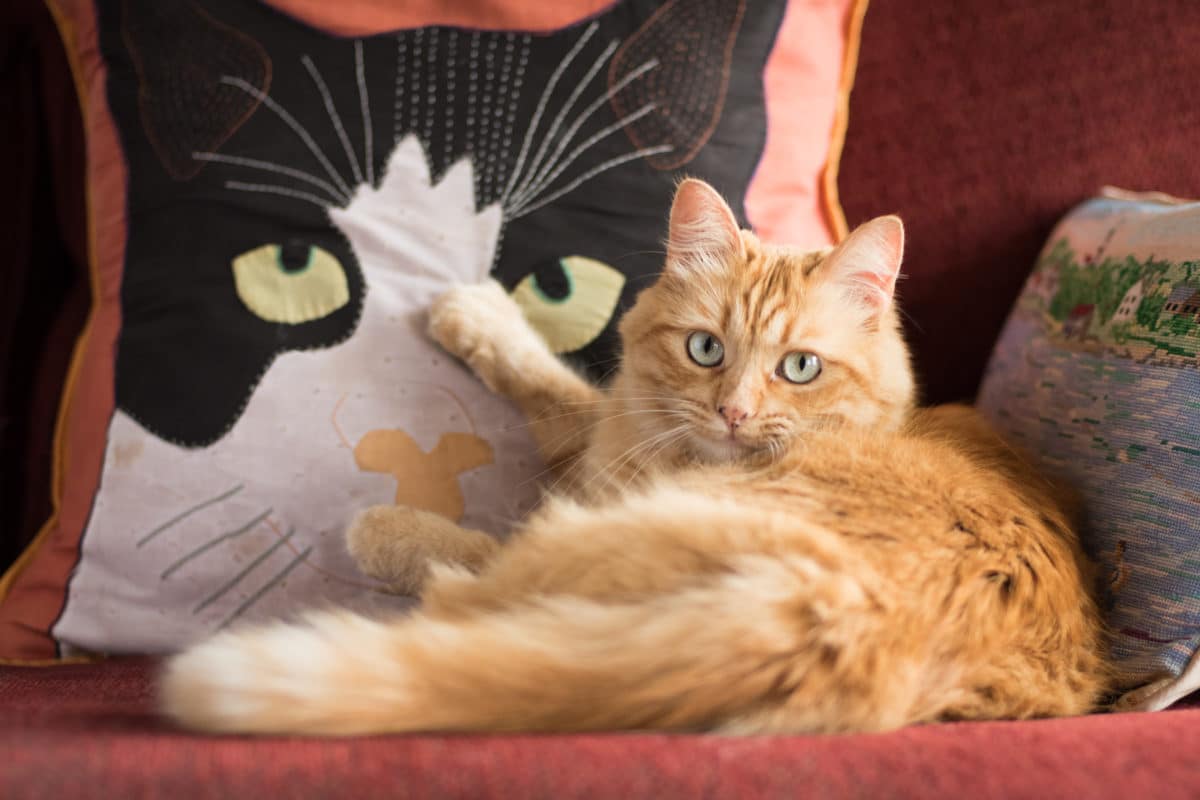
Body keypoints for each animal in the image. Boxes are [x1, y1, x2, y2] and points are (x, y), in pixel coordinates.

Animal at [159, 178, 1104, 734]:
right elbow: (562, 392)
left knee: (471, 586)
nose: (734, 413)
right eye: (705, 350)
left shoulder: (602, 477)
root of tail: (842, 617)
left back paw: (385, 534)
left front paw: (477, 317)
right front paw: (480, 320)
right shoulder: (614, 429)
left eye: (798, 367)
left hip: (581, 548)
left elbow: (553, 405)